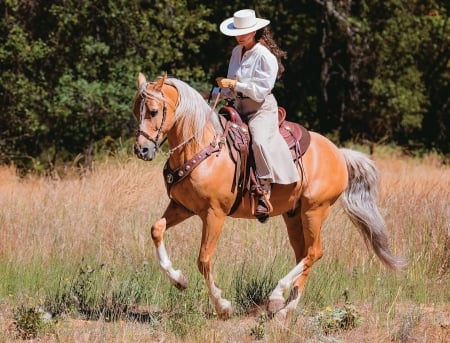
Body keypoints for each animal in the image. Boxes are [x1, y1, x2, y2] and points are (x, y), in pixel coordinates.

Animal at [133, 72, 404, 320]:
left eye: (154, 111)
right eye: (137, 110)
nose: (141, 150)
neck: (203, 147)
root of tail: (338, 152)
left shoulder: (214, 214)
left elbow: (204, 259)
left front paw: (223, 306)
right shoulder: (182, 207)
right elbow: (156, 229)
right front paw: (179, 280)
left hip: (315, 210)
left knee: (315, 252)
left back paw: (278, 297)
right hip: (294, 216)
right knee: (304, 254)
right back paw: (285, 306)